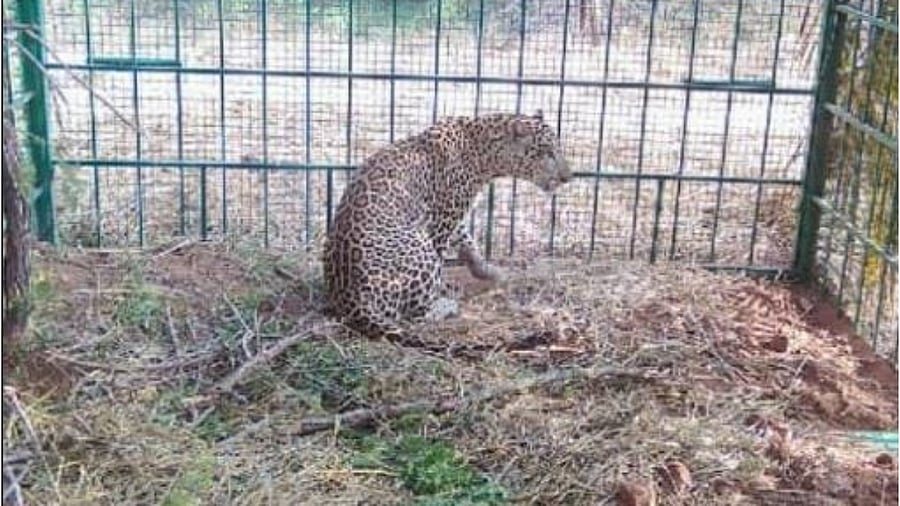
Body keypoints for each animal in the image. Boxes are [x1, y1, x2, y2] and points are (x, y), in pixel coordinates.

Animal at [322, 111, 572, 345]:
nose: (567, 177)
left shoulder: (453, 214)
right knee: (417, 314)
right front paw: (447, 287)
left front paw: (486, 269)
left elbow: (466, 238)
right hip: (419, 245)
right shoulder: (441, 221)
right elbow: (445, 253)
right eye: (547, 152)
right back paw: (447, 304)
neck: (484, 152)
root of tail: (352, 299)